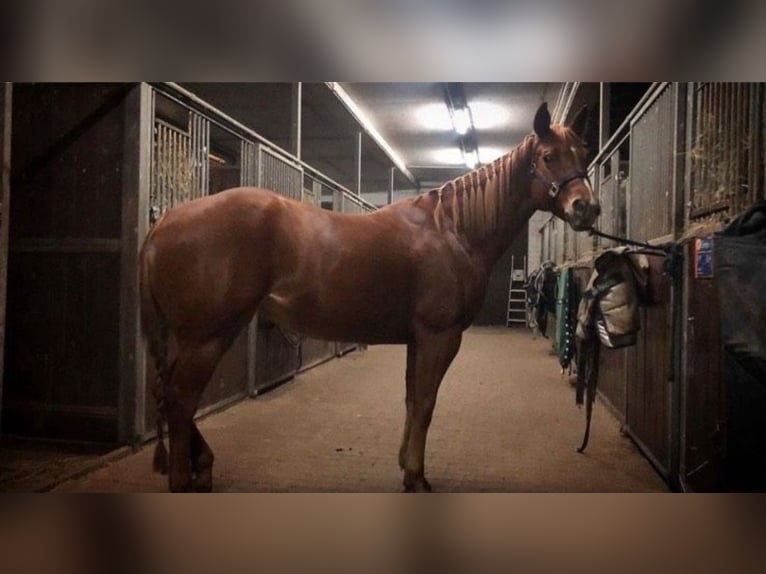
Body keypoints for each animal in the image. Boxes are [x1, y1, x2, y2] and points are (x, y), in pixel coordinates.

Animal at [141, 101, 604, 492]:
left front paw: (406, 466)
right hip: (208, 336)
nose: (587, 209)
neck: (452, 231)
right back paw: (184, 477)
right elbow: (426, 403)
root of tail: (163, 223)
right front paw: (416, 477)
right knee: (180, 398)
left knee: (168, 393)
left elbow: (412, 400)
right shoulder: (439, 336)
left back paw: (202, 466)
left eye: (583, 154)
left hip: (199, 336)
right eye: (549, 157)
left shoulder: (418, 340)